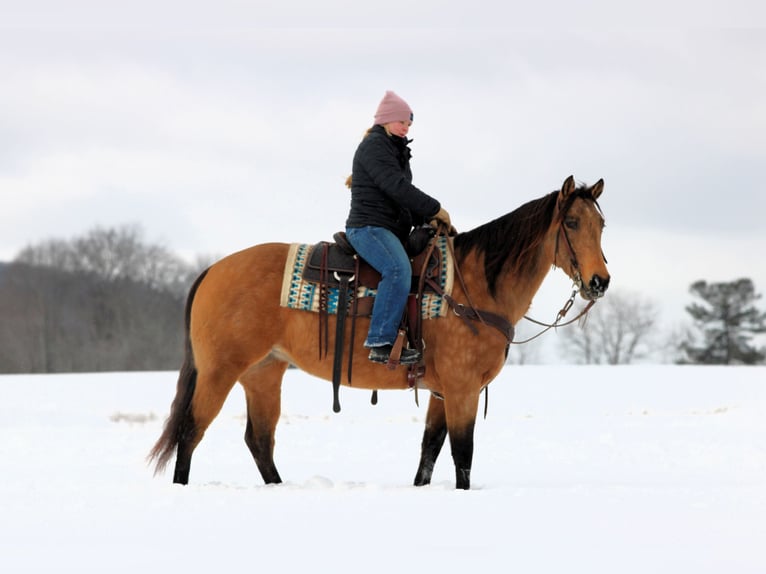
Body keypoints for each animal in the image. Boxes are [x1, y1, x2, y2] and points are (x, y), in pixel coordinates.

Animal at [149, 175, 609, 489]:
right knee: (191, 432)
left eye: (601, 225)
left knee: (259, 440)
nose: (599, 281)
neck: (474, 286)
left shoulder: (441, 392)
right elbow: (462, 455)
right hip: (219, 371)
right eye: (571, 222)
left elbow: (429, 453)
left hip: (263, 373)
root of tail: (213, 269)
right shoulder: (461, 389)